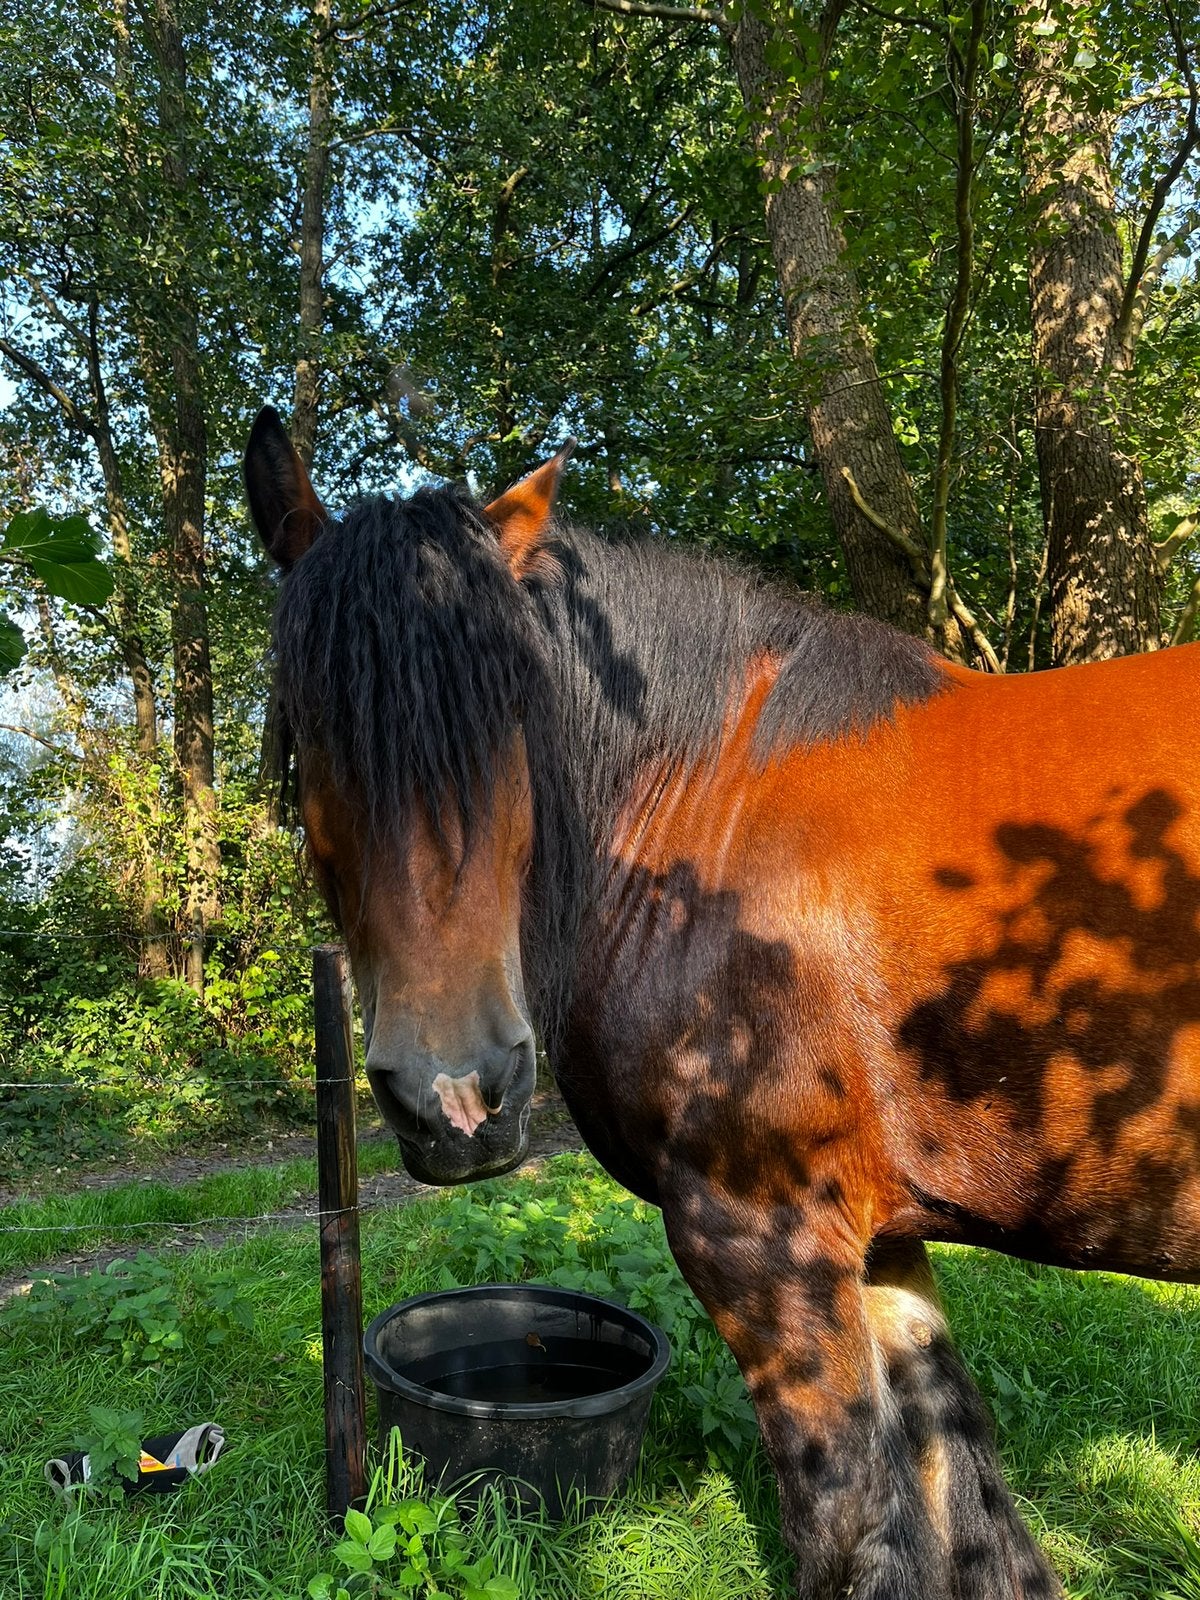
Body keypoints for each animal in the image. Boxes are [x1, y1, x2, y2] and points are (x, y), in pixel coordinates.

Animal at [245, 404, 1200, 1600]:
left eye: (513, 718)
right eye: (311, 727)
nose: (455, 1097)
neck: (713, 801)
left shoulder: (764, 1240)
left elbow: (850, 1530)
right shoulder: (879, 1244)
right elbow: (962, 1506)